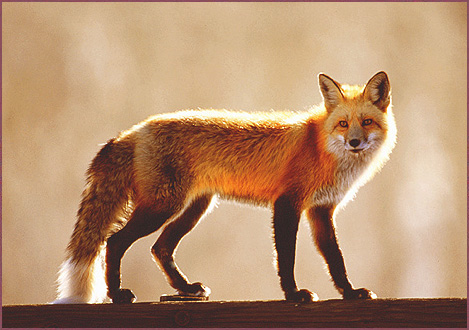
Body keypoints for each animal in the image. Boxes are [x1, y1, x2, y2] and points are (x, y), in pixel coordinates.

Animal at [52, 72, 394, 304]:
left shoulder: (321, 210)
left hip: (194, 208)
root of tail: (134, 131)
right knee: (114, 241)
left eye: (366, 122)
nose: (354, 142)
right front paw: (293, 294)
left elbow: (335, 259)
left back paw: (185, 288)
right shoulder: (288, 203)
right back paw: (117, 294)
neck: (323, 148)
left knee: (160, 248)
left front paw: (350, 292)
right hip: (162, 207)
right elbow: (286, 257)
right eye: (343, 124)